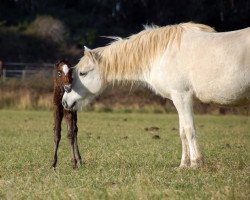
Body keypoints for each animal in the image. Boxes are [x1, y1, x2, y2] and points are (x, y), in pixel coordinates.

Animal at [62, 22, 250, 168]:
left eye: (83, 73)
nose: (65, 101)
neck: (163, 53)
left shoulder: (182, 97)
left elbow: (189, 129)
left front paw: (196, 163)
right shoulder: (178, 99)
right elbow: (182, 131)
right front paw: (184, 165)